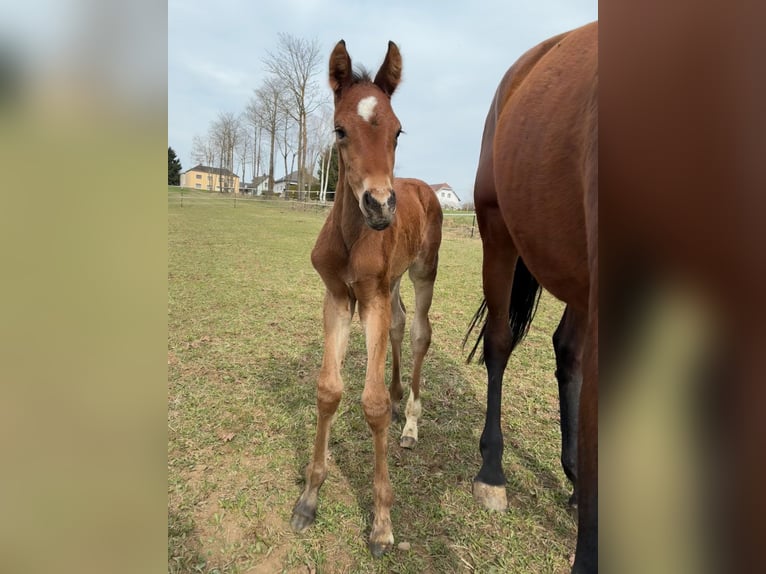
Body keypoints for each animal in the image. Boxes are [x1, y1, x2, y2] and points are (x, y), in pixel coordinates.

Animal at [290, 40, 443, 557]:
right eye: (340, 130)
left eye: (398, 131)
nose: (380, 206)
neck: (352, 236)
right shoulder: (338, 297)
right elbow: (328, 390)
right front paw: (309, 499)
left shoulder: (369, 298)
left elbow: (370, 405)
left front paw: (381, 523)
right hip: (390, 283)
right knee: (398, 323)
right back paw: (400, 400)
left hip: (422, 272)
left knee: (418, 331)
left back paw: (410, 423)